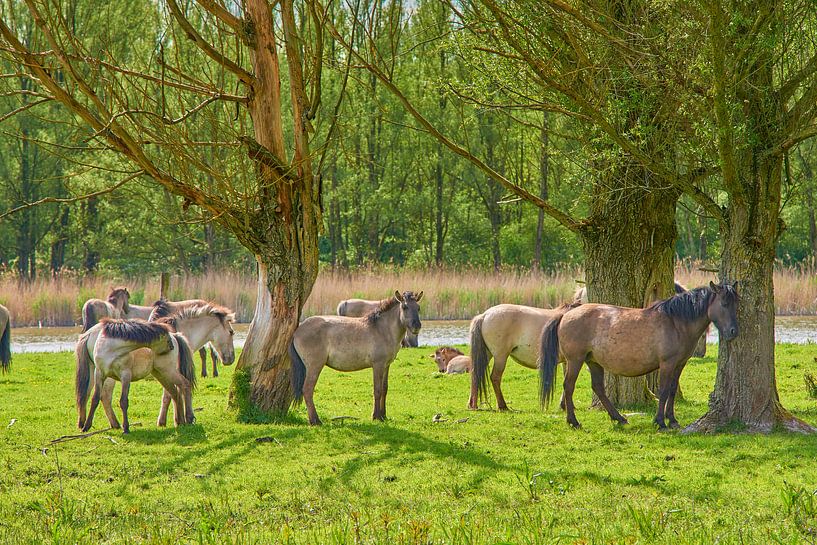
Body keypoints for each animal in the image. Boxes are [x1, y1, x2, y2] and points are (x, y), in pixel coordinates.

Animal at [291, 290, 423, 425]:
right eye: (404, 307)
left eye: (418, 308)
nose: (416, 326)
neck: (382, 329)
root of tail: (297, 330)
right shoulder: (378, 365)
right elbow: (377, 390)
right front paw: (376, 416)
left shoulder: (386, 365)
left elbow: (384, 389)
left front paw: (384, 415)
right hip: (315, 366)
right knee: (307, 390)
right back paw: (315, 420)